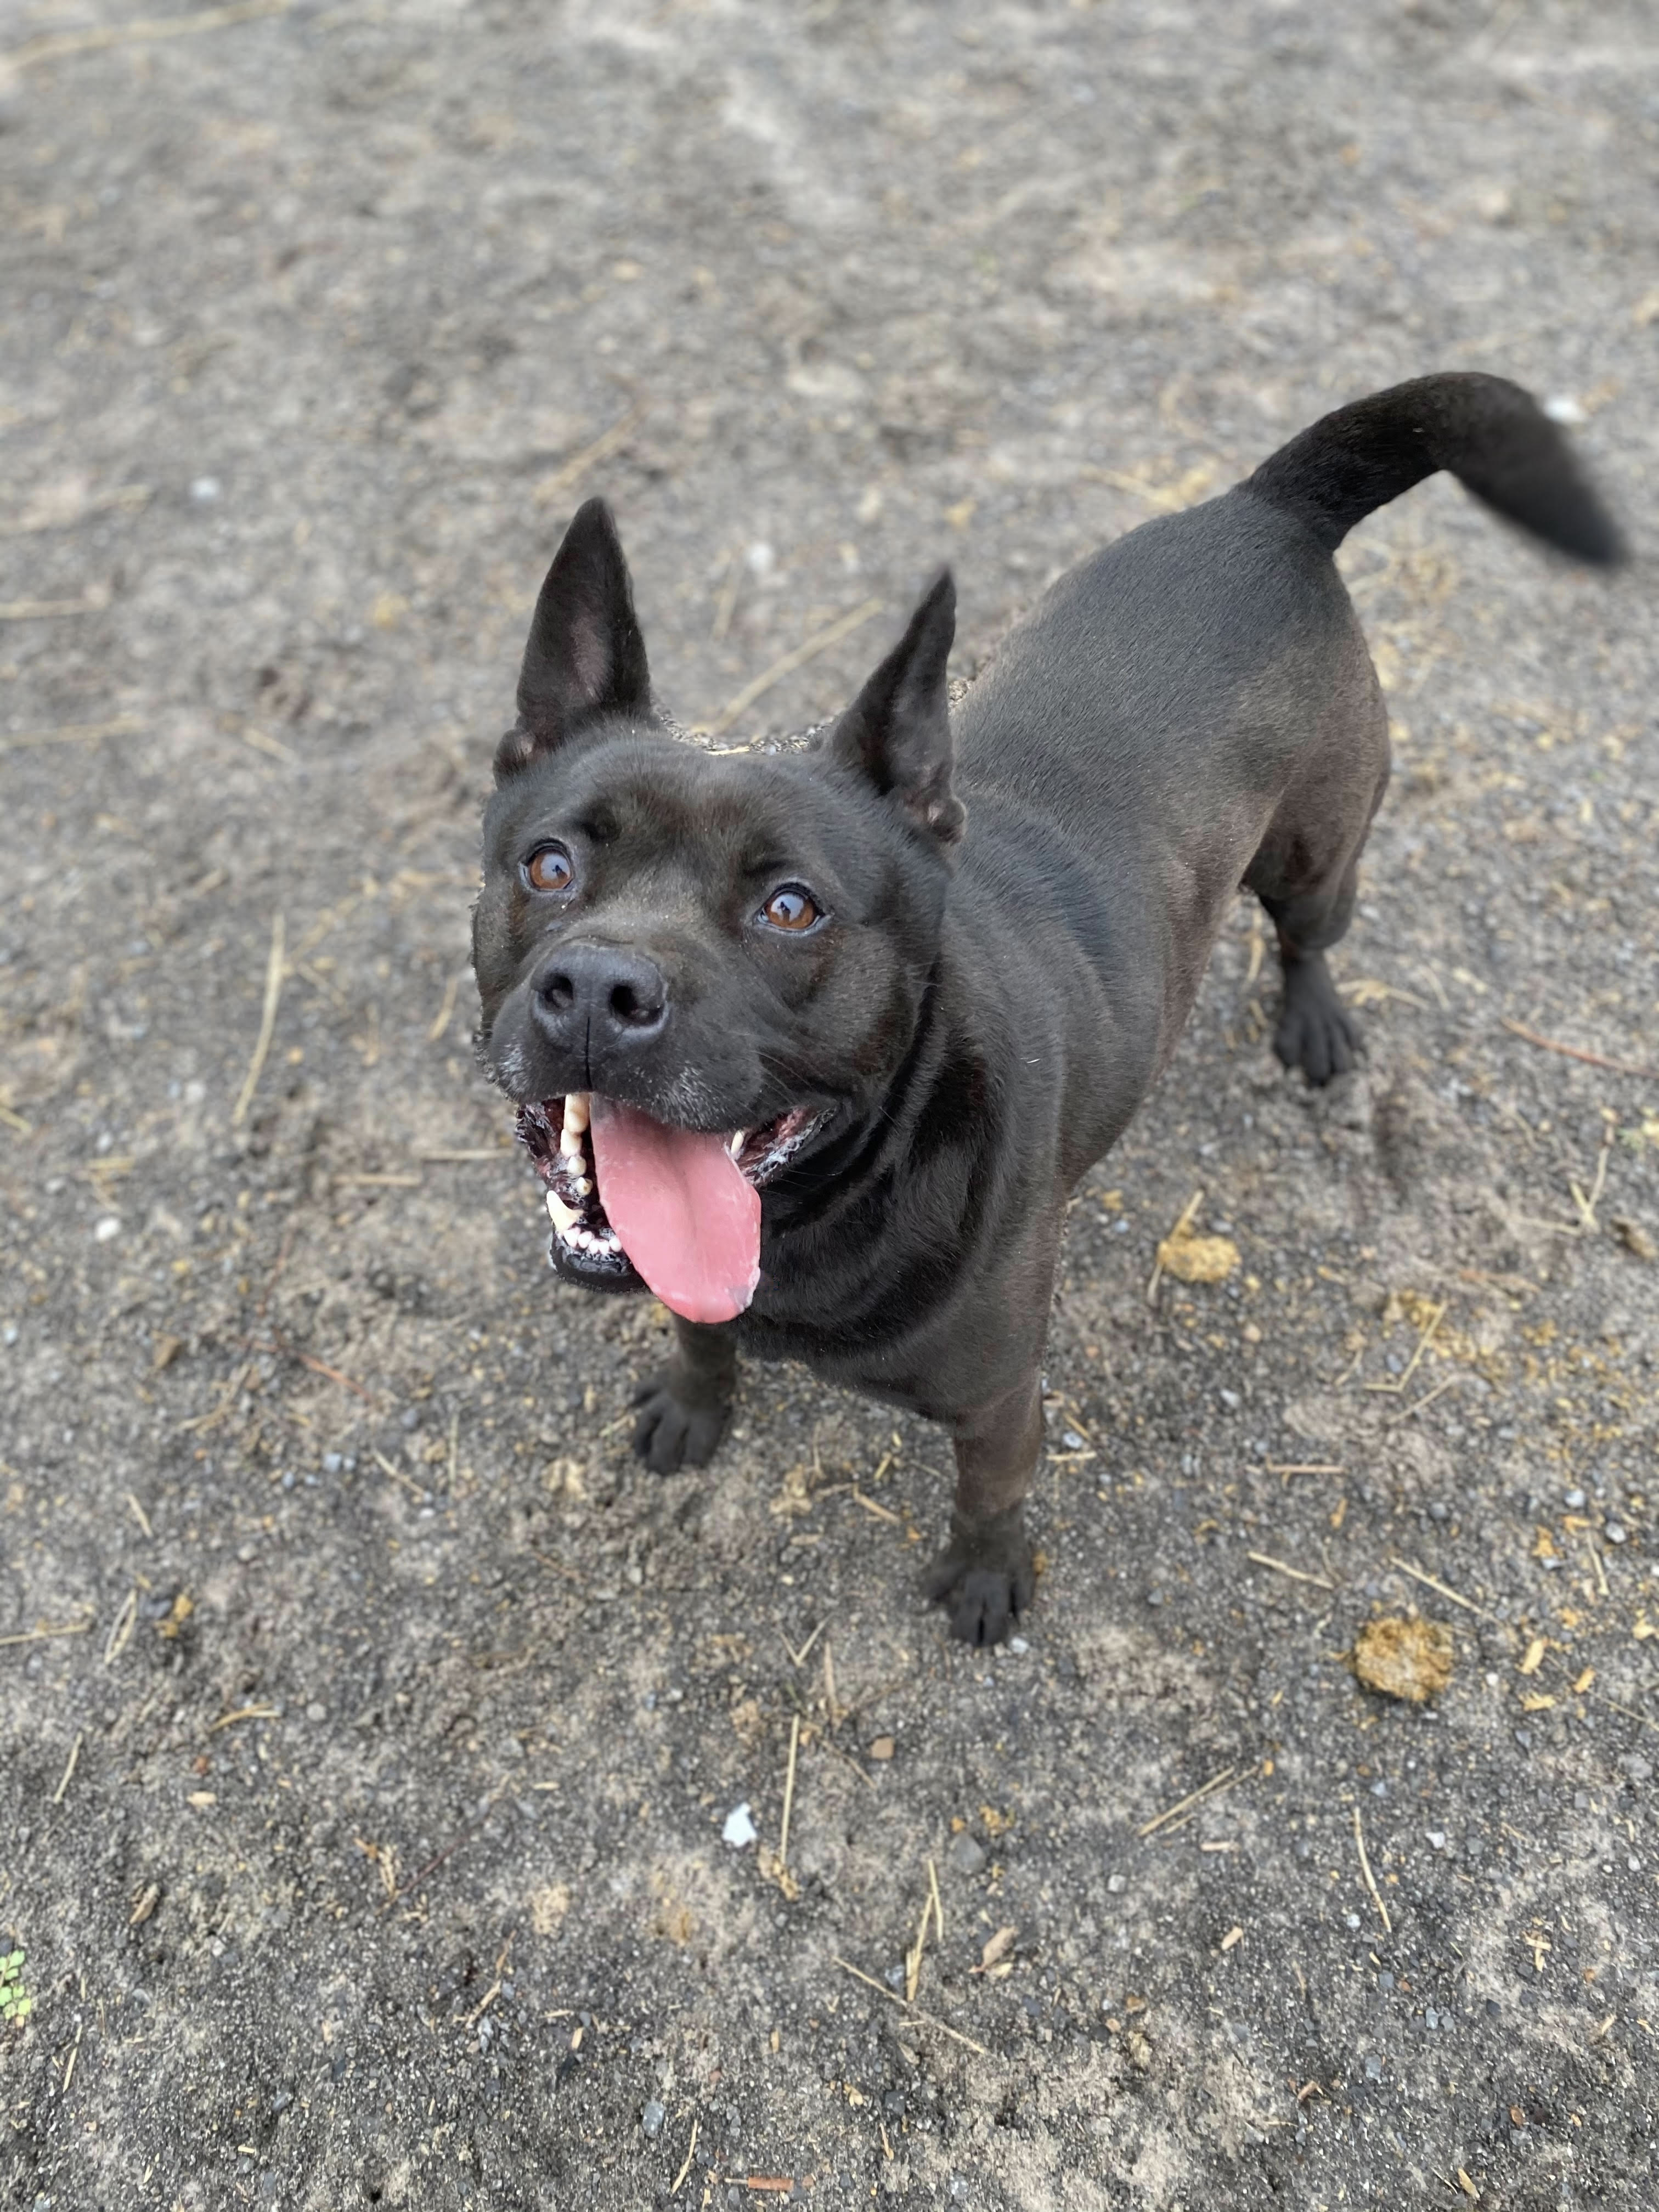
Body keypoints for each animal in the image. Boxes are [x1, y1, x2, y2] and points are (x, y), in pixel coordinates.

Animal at [471, 371, 1628, 1645]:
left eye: (789, 907)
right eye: (548, 867)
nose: (598, 989)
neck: (831, 1202)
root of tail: (1268, 505)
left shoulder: (1000, 1400)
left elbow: (990, 1496)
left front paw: (985, 1578)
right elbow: (696, 1330)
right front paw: (693, 1403)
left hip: (1317, 854)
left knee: (1304, 934)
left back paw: (1313, 1024)